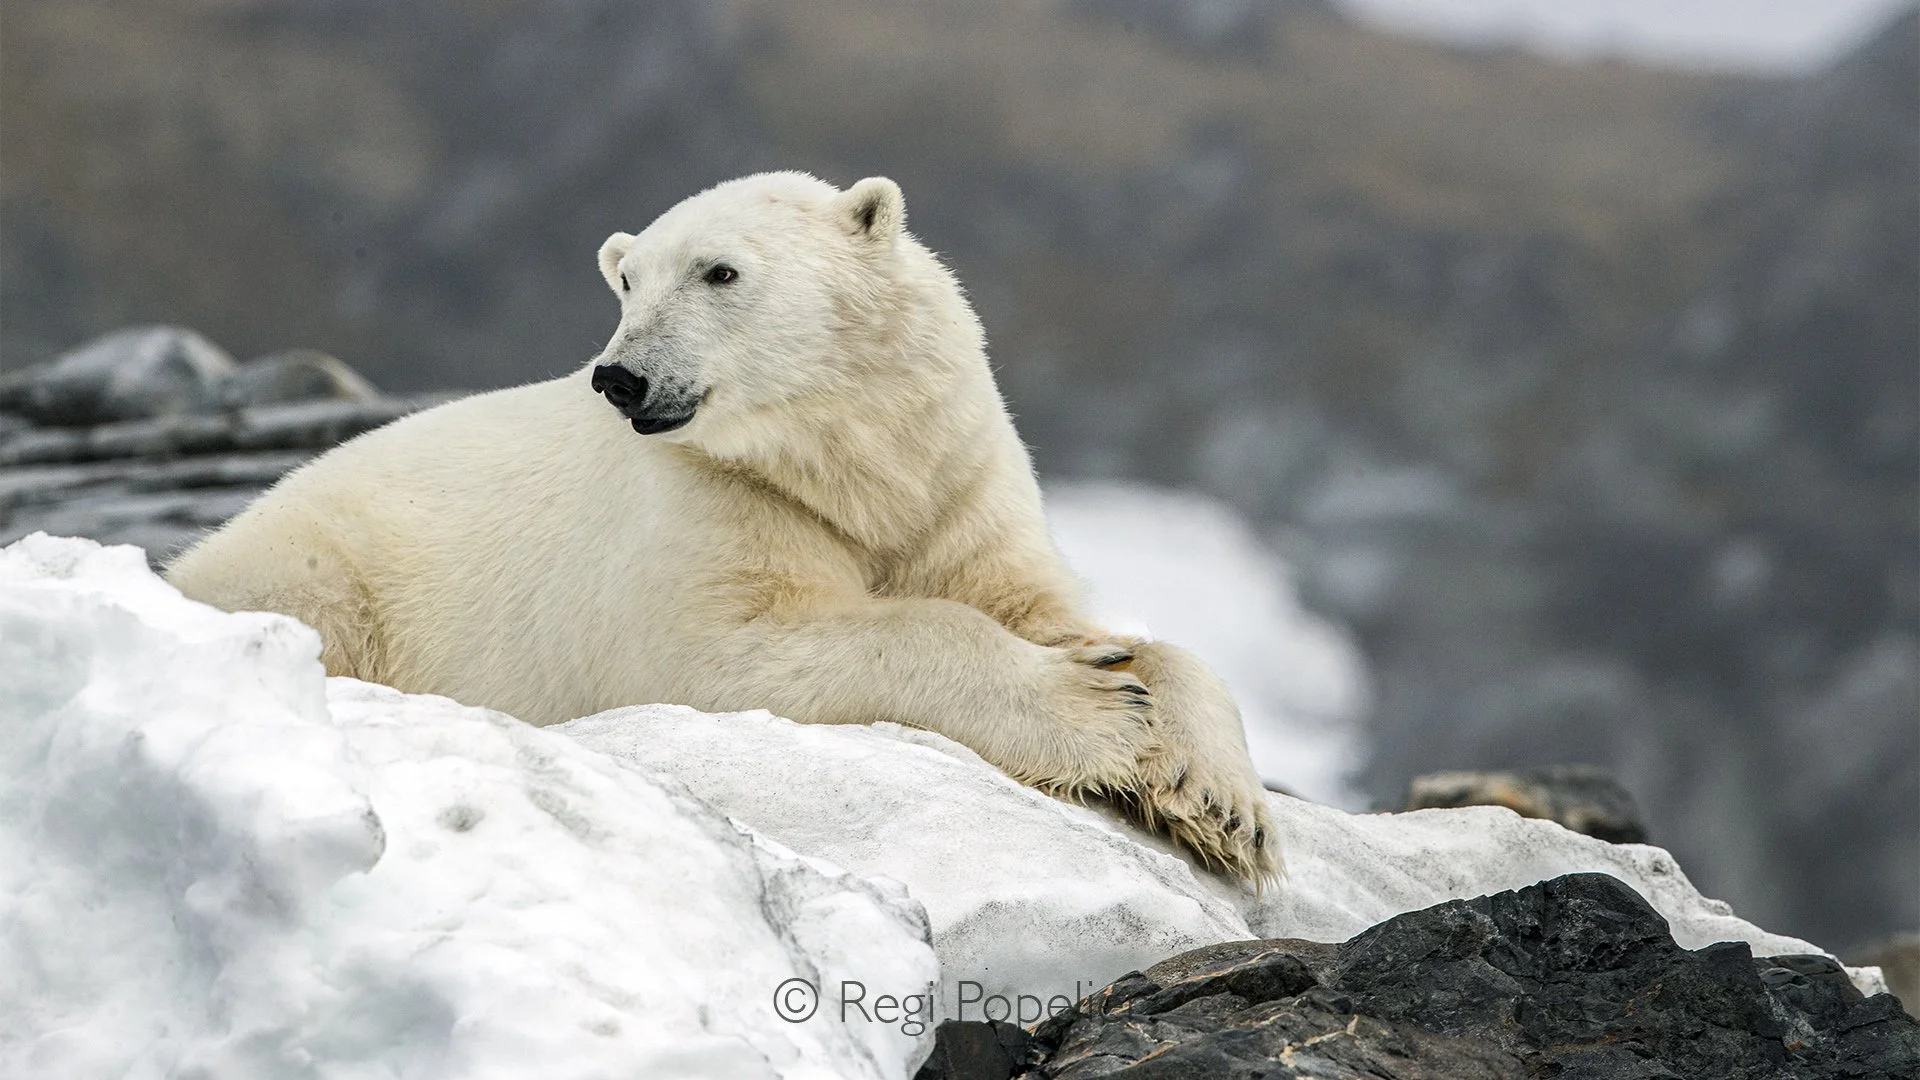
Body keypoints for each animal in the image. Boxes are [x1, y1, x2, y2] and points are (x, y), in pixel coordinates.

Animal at [165, 172, 1278, 881]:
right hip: (321, 568)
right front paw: (1100, 713)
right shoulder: (712, 507)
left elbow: (1065, 618)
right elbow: (730, 653)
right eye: (626, 279)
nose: (620, 376)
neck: (849, 466)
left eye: (720, 271)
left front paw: (1220, 802)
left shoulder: (954, 490)